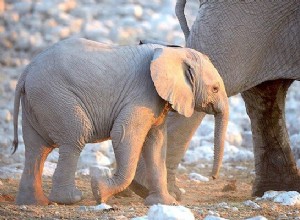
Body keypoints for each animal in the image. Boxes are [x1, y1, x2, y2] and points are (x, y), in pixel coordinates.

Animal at [12, 37, 229, 205]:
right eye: (215, 89)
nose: (213, 177)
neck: (172, 52)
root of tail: (26, 71)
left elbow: (156, 144)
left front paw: (165, 203)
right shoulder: (142, 94)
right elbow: (124, 135)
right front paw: (99, 191)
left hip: (38, 101)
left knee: (36, 149)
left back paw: (33, 202)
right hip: (55, 97)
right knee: (75, 137)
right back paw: (70, 199)